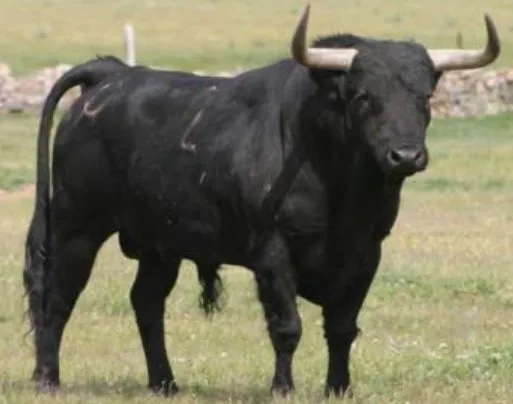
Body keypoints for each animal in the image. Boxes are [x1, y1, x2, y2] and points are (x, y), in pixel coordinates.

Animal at [24, 5, 500, 398]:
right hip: (77, 226)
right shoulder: (273, 252)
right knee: (59, 296)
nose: (406, 155)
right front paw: (283, 388)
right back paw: (48, 378)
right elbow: (287, 326)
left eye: (425, 97)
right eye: (364, 96)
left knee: (146, 302)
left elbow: (342, 327)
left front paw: (338, 388)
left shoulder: (368, 253)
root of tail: (111, 74)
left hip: (161, 242)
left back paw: (164, 383)